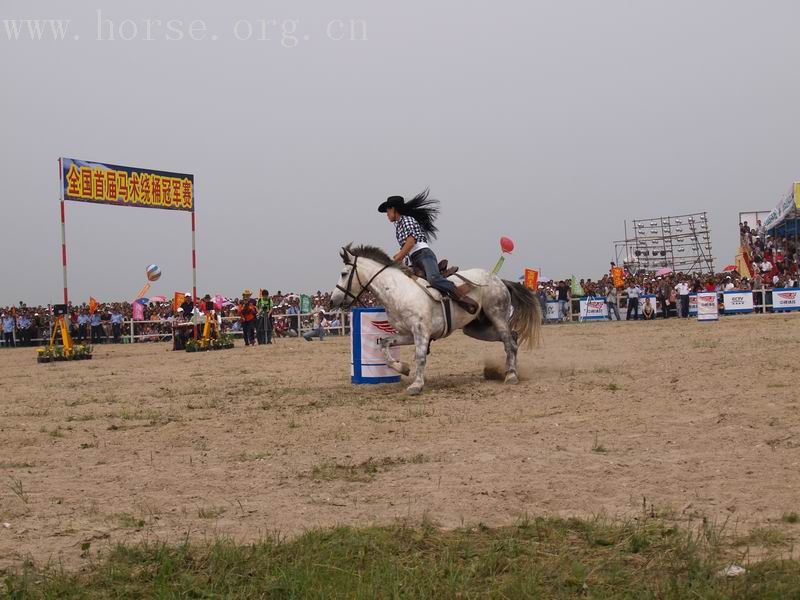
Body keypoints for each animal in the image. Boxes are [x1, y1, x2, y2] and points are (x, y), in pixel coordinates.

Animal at [328, 244, 540, 394]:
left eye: (344, 273)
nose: (332, 301)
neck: (397, 289)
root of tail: (499, 280)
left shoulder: (421, 332)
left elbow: (420, 357)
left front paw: (416, 385)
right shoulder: (407, 334)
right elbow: (385, 344)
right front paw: (403, 368)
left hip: (498, 316)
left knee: (509, 343)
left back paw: (511, 376)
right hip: (476, 329)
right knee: (512, 339)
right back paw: (509, 370)